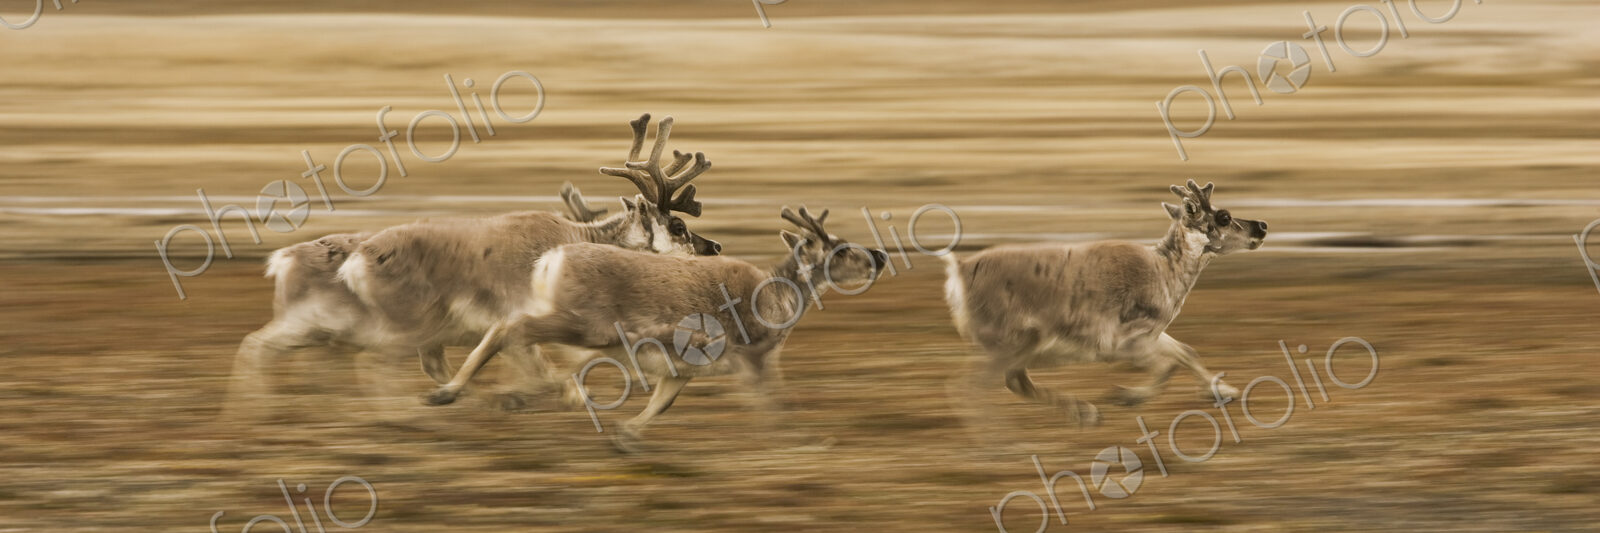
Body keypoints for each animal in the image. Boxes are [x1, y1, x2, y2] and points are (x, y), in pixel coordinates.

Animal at [226, 113, 720, 417]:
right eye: (677, 224)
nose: (713, 247)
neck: (578, 239)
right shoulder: (522, 321)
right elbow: (543, 367)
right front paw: (550, 397)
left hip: (327, 330)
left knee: (270, 350)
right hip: (393, 328)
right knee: (346, 361)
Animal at [422, 207, 888, 451]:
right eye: (840, 248)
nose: (881, 256)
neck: (776, 293)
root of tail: (552, 259)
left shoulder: (680, 369)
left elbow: (660, 404)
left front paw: (624, 436)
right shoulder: (753, 357)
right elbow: (776, 403)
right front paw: (805, 443)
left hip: (574, 325)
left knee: (512, 334)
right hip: (582, 324)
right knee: (509, 328)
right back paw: (448, 393)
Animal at [942, 180, 1267, 432]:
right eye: (1223, 217)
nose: (1262, 226)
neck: (1164, 271)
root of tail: (960, 269)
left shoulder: (1151, 334)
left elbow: (1187, 352)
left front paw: (1223, 391)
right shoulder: (1124, 343)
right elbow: (1169, 365)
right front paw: (1127, 396)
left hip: (1019, 346)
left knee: (1014, 381)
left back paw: (1086, 414)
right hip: (1014, 343)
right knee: (973, 385)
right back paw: (1000, 441)